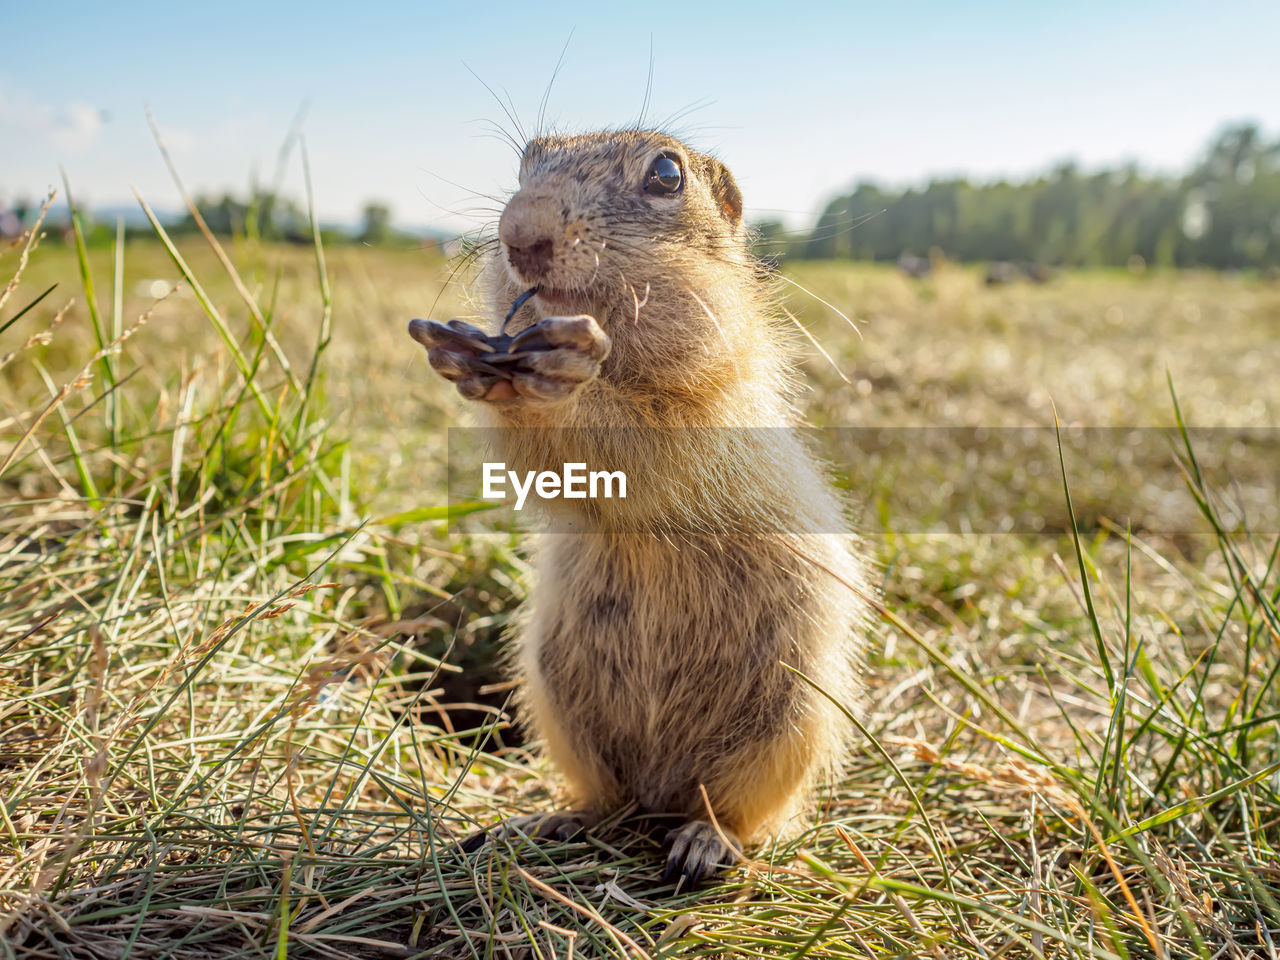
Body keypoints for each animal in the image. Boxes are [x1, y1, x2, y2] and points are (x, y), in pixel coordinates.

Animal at [409, 128, 870, 885]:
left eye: (665, 174)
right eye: (524, 160)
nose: (520, 231)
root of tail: (658, 793)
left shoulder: (705, 402)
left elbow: (635, 438)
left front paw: (560, 374)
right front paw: (466, 355)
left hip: (787, 724)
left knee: (742, 813)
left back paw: (704, 843)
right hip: (561, 706)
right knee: (607, 799)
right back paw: (548, 822)